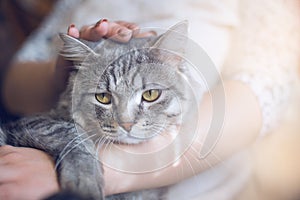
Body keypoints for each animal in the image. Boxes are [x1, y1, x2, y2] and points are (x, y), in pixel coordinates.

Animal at [0, 21, 197, 199]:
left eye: (150, 94)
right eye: (103, 97)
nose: (127, 124)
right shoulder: (28, 123)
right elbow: (71, 133)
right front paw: (84, 182)